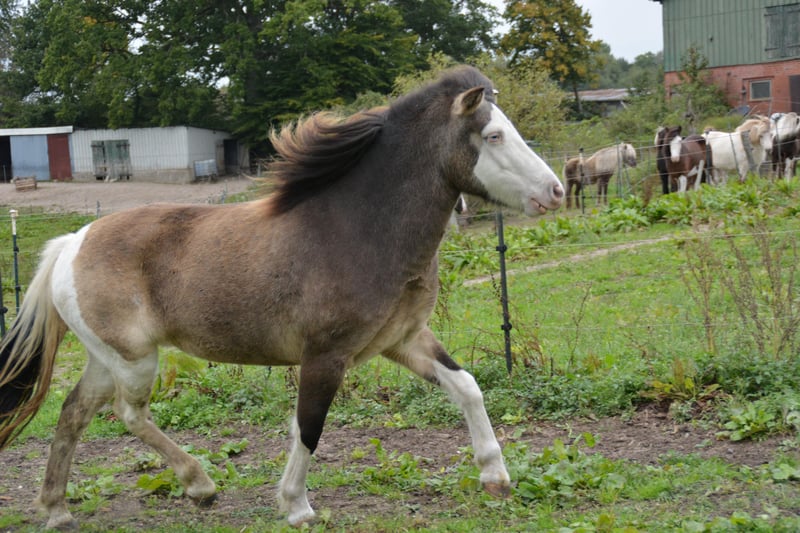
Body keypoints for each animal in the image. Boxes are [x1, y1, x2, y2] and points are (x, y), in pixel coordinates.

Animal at [0, 66, 564, 529]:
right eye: (493, 135)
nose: (555, 192)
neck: (359, 229)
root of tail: (72, 242)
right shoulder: (326, 355)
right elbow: (310, 426)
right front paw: (296, 506)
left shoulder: (402, 341)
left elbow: (467, 386)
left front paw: (496, 477)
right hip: (134, 360)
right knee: (129, 415)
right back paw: (200, 485)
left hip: (106, 358)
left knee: (74, 412)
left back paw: (58, 509)